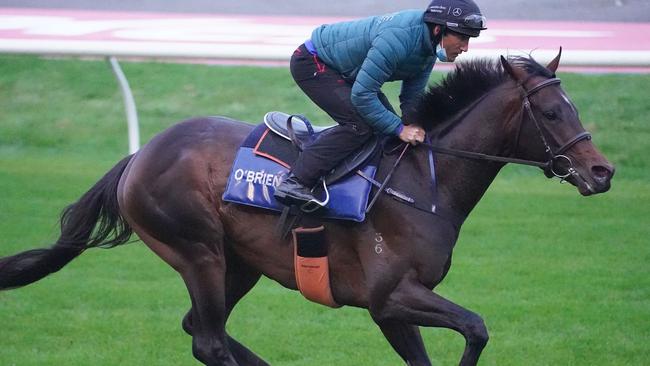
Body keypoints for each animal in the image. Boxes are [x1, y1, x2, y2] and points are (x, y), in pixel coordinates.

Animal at [0, 52, 612, 366]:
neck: (422, 181)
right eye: (553, 112)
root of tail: (139, 155)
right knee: (208, 340)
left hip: (238, 262)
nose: (603, 172)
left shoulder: (391, 310)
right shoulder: (392, 296)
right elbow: (477, 328)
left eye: (575, 106)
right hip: (198, 251)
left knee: (199, 327)